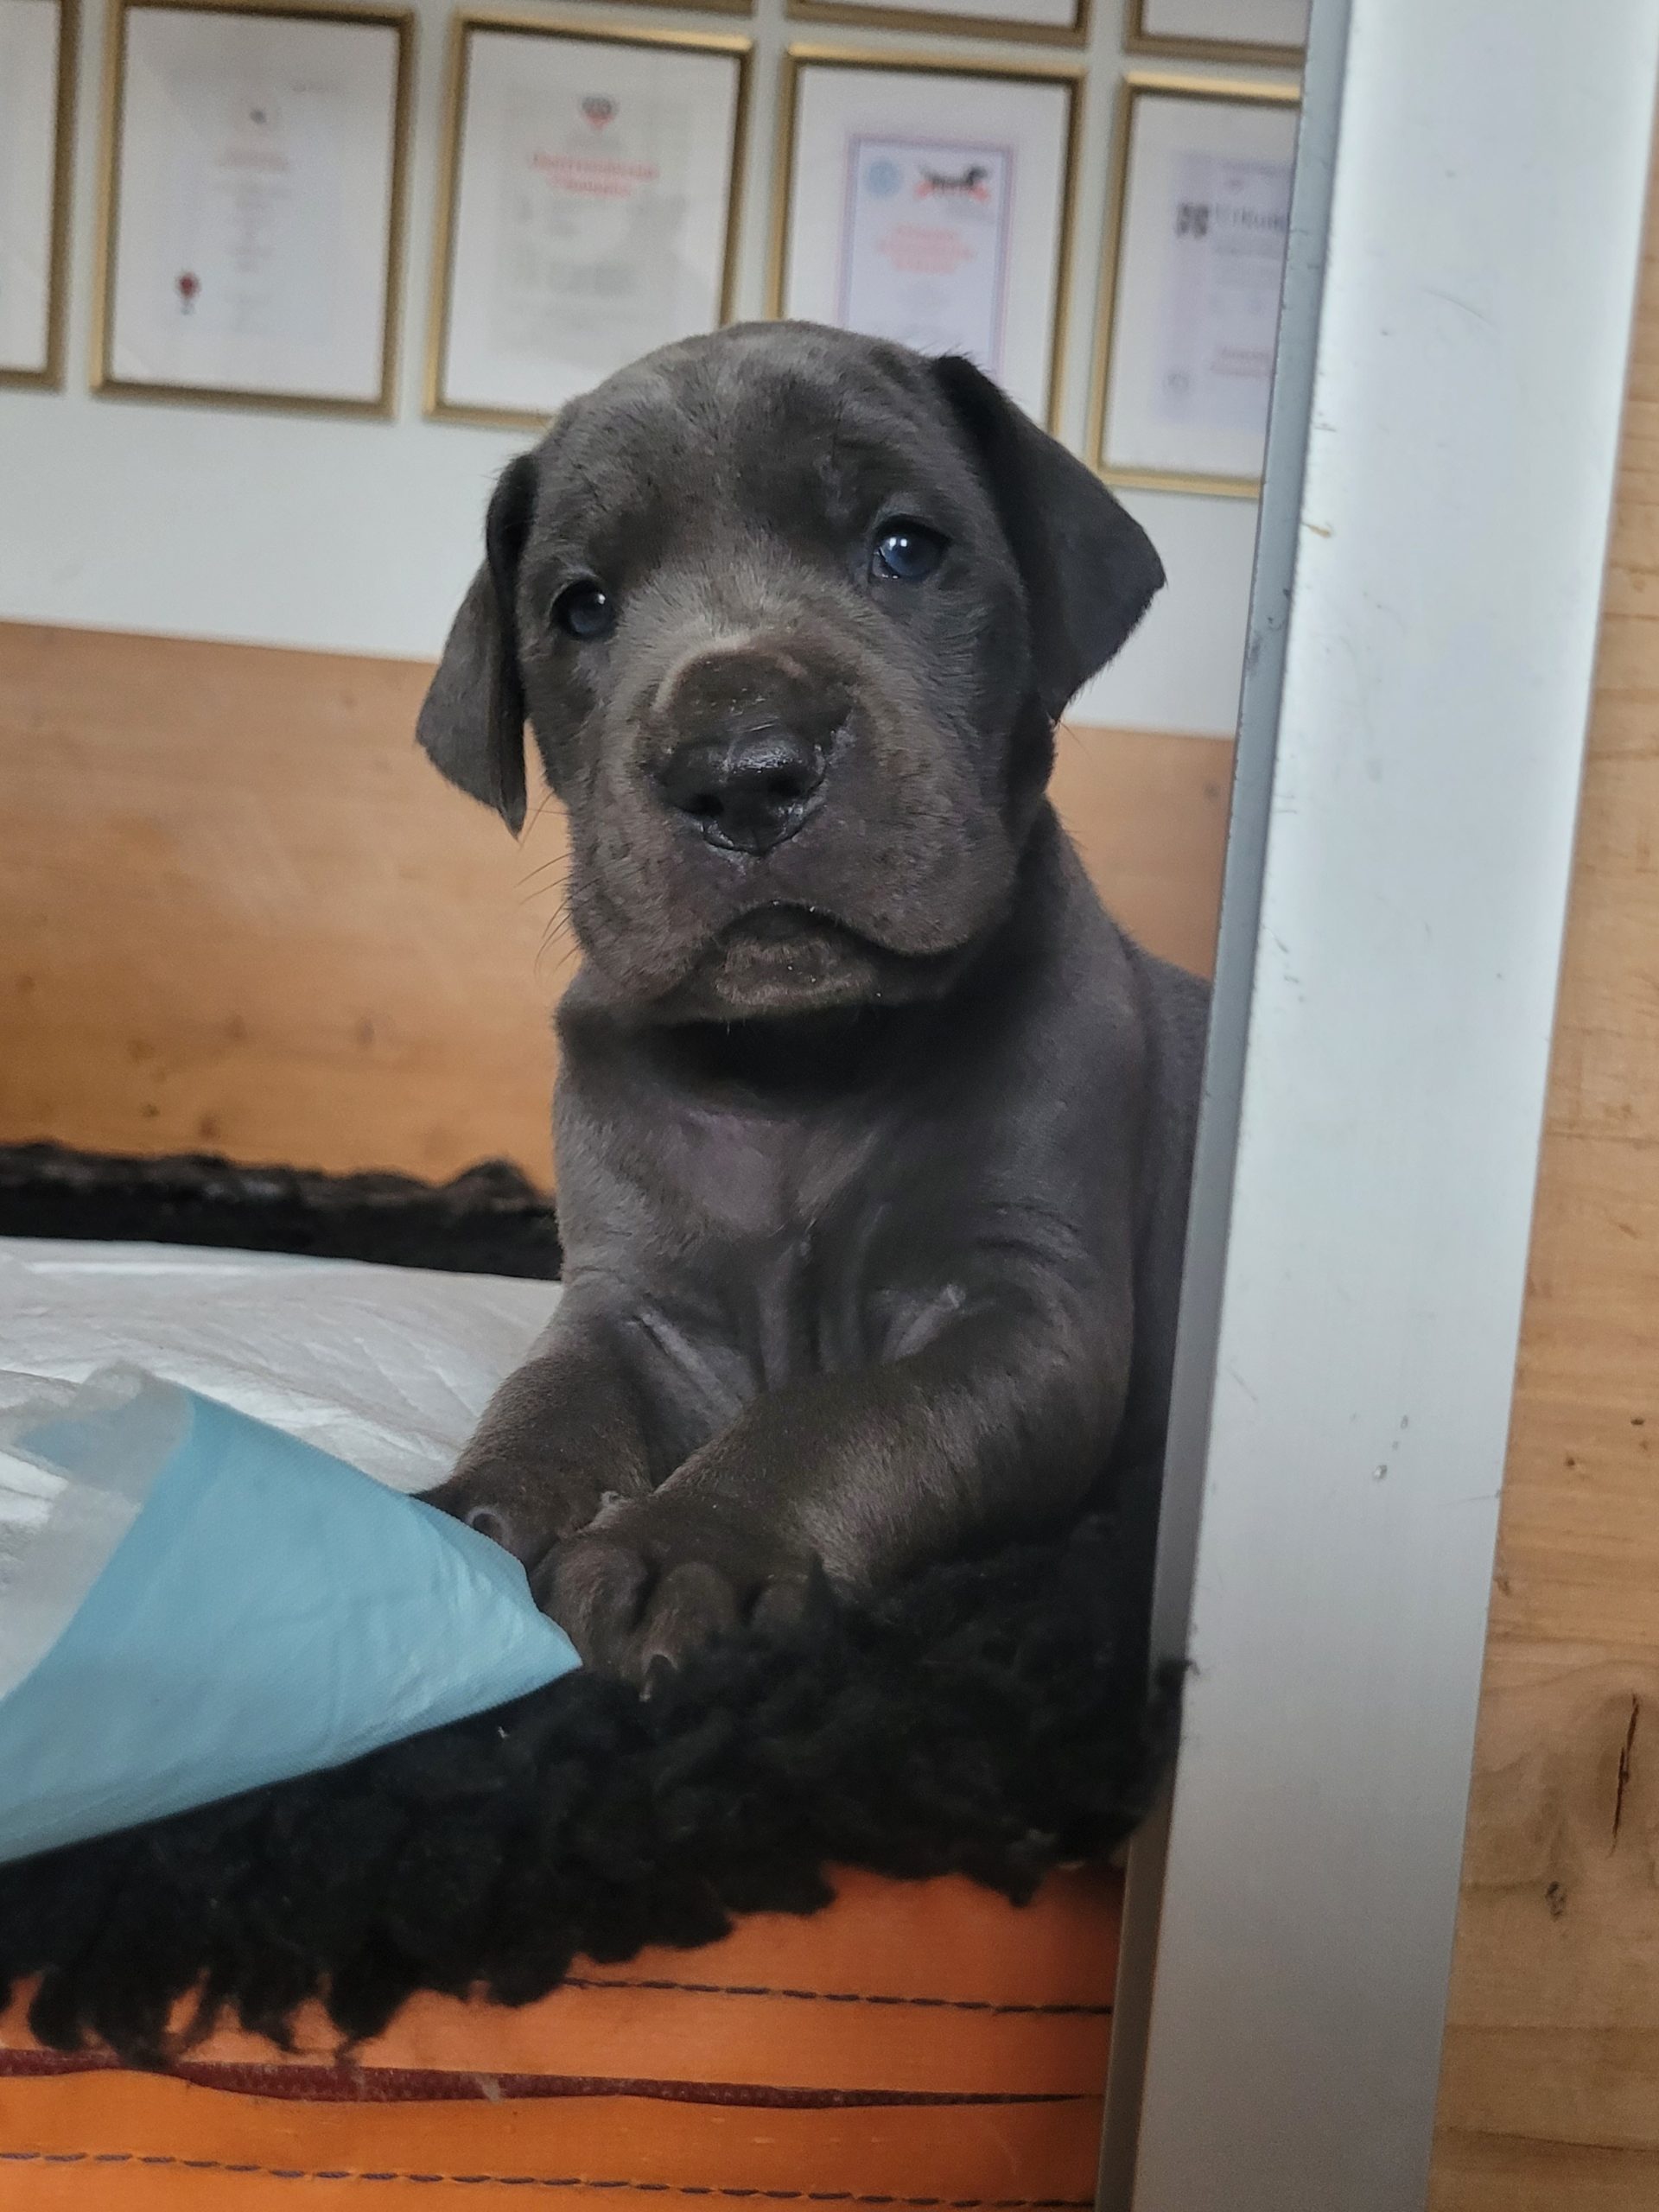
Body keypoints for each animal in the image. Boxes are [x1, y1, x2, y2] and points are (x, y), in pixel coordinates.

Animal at [417, 321, 1208, 1685]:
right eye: (582, 607)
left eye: (906, 547)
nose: (740, 768)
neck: (801, 1065)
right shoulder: (637, 1305)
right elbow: (550, 1397)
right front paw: (463, 1512)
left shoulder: (1020, 1313)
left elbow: (840, 1413)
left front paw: (688, 1543)